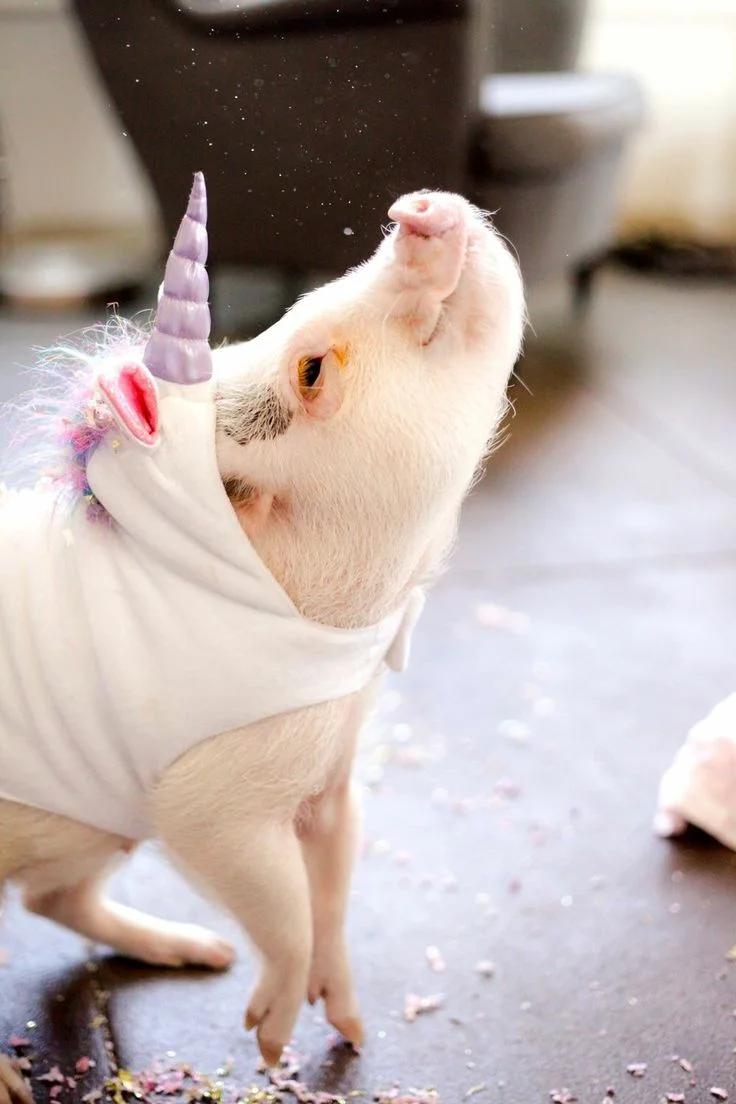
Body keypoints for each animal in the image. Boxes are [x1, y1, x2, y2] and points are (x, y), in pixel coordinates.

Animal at [0, 173, 525, 1102]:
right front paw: (271, 1045)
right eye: (311, 367)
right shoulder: (208, 799)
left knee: (50, 902)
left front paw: (349, 1027)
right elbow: (278, 900)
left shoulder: (334, 769)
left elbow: (336, 876)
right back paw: (16, 1081)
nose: (413, 209)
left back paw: (196, 952)